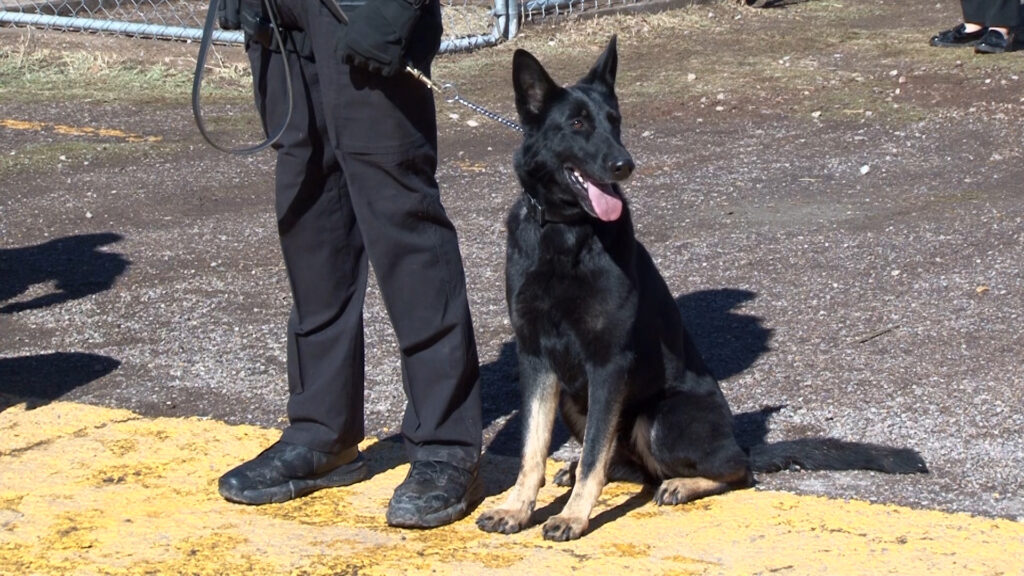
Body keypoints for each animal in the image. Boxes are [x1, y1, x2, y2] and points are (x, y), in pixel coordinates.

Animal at [475, 37, 927, 542]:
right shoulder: (535, 358)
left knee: (732, 469)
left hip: (659, 418)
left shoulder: (608, 363)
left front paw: (573, 516)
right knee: (628, 460)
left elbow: (594, 454)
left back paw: (681, 483)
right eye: (577, 124)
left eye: (616, 121)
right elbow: (533, 449)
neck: (565, 231)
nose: (625, 164)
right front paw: (517, 508)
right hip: (579, 402)